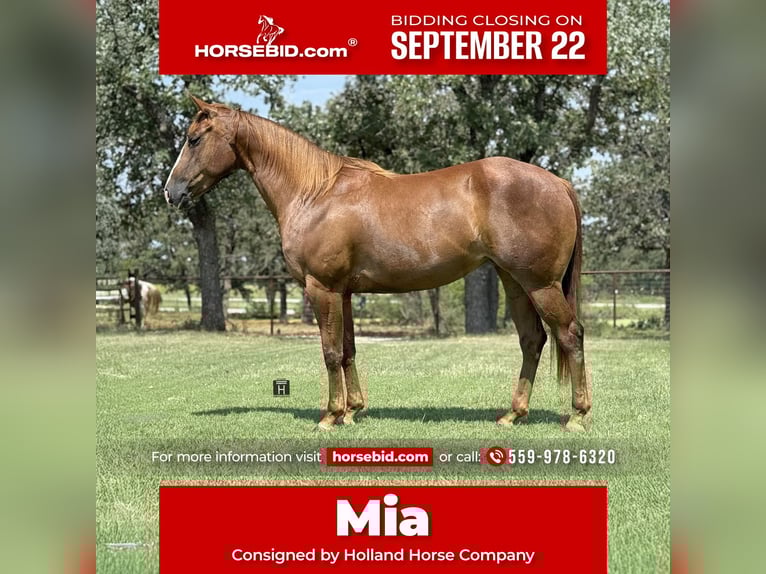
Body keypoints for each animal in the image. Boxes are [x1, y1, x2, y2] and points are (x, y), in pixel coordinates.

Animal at [164, 96, 591, 432]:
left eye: (194, 138)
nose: (171, 192)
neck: (314, 192)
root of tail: (558, 183)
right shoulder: (344, 293)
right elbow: (348, 349)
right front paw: (353, 411)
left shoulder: (322, 288)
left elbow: (330, 352)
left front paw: (330, 416)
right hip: (514, 282)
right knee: (532, 340)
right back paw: (513, 414)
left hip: (540, 284)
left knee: (569, 334)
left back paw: (577, 415)